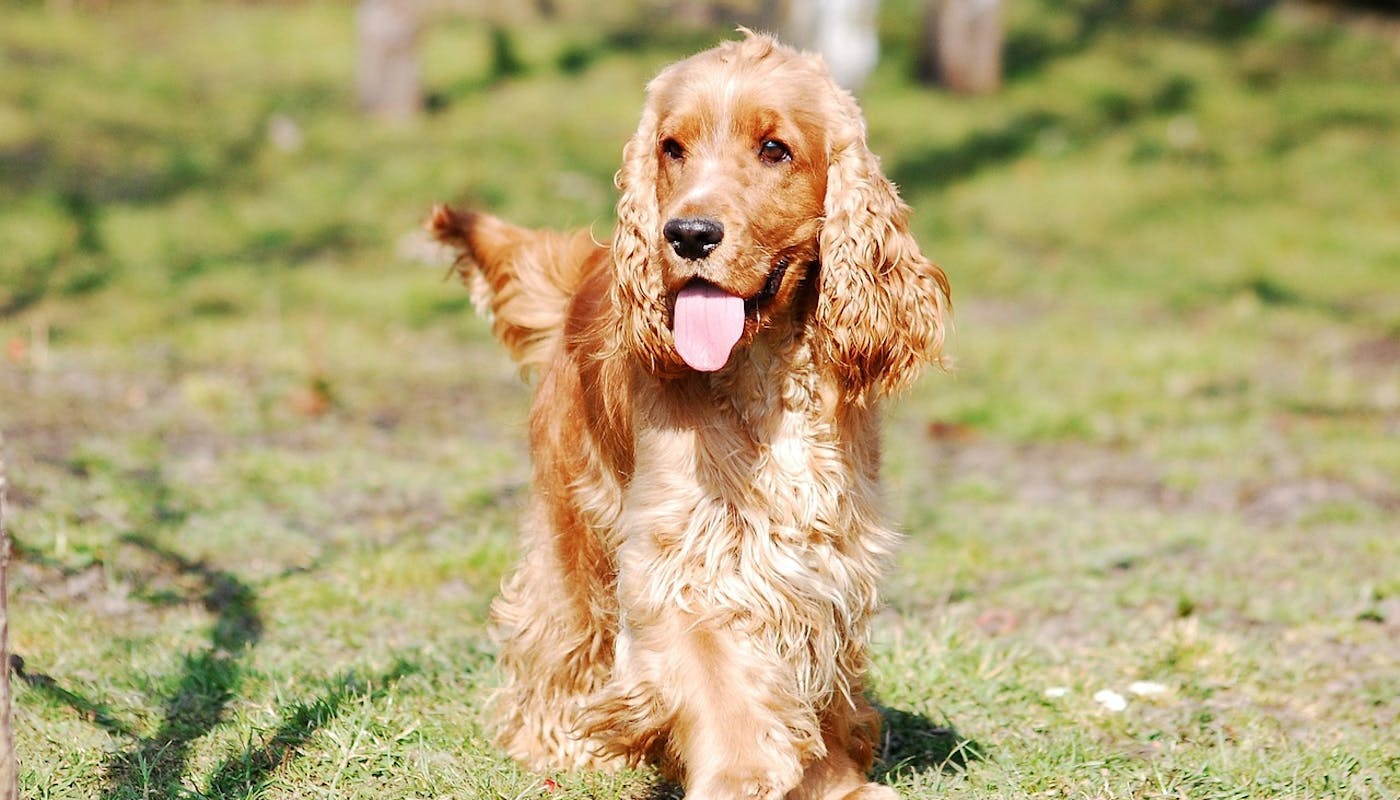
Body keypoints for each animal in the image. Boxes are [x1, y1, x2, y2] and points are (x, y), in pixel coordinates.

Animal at [425, 28, 952, 795]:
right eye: (672, 147)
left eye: (775, 149)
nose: (689, 234)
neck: (765, 374)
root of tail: (588, 267)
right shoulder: (681, 560)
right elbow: (724, 688)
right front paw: (741, 777)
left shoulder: (824, 557)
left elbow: (809, 670)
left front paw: (831, 776)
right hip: (574, 512)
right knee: (558, 624)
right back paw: (561, 740)